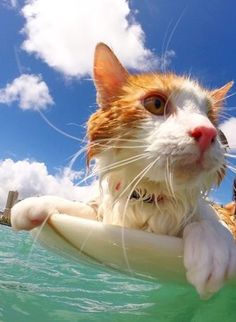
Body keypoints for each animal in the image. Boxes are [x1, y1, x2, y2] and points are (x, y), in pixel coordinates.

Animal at [10, 42, 236, 296]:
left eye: (210, 118)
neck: (148, 198)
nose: (207, 132)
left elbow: (206, 218)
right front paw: (38, 203)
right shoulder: (109, 218)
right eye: (156, 104)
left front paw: (213, 244)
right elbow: (84, 208)